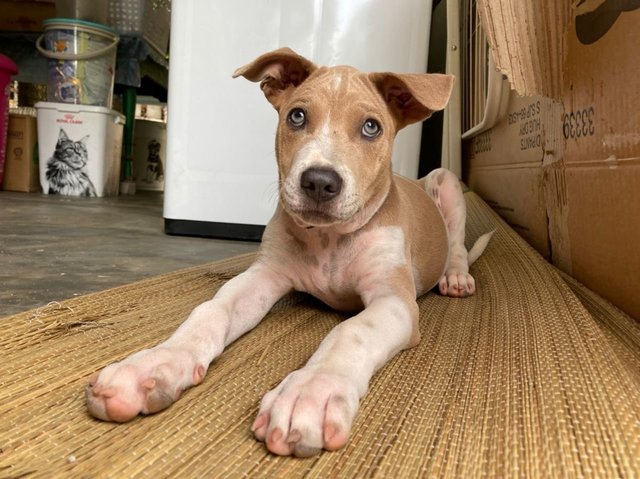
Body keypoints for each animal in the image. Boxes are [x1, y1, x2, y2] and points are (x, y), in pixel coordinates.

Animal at [87, 47, 492, 458]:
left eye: (371, 127)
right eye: (297, 116)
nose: (319, 182)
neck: (329, 239)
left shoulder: (395, 300)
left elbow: (351, 331)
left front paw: (310, 392)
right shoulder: (264, 275)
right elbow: (210, 310)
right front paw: (155, 363)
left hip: (446, 181)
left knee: (457, 243)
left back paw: (456, 276)